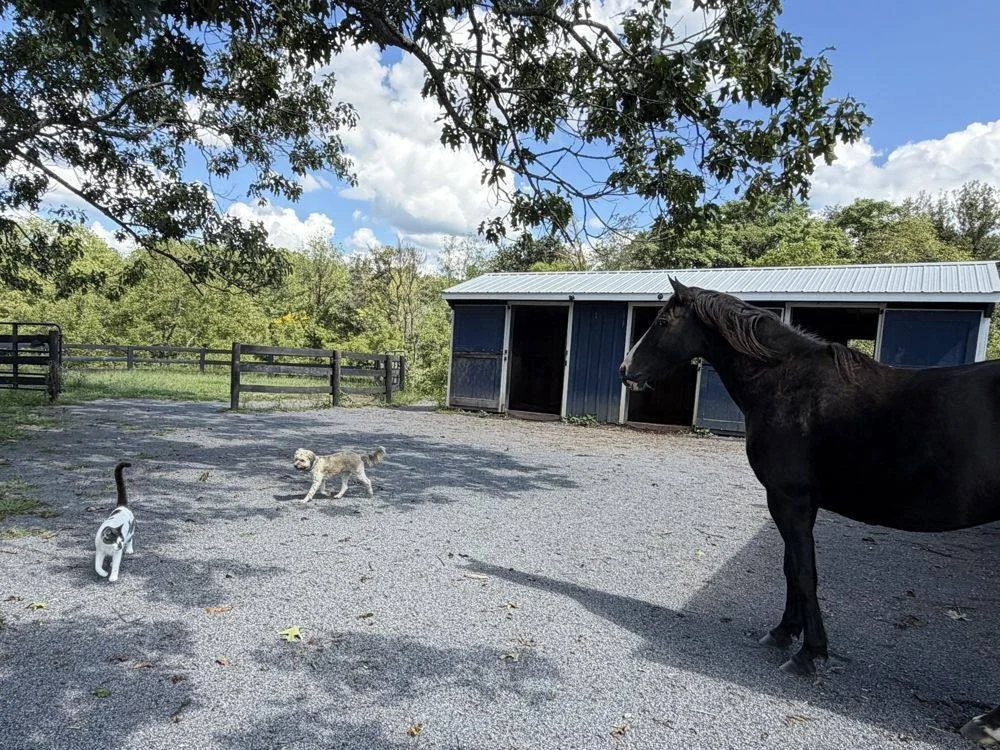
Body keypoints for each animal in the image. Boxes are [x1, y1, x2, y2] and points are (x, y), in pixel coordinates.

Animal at [619, 278, 1000, 745]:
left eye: (661, 321)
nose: (625, 369)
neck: (786, 382)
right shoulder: (791, 502)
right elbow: (790, 568)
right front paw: (784, 631)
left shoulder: (790, 499)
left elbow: (803, 572)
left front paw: (809, 652)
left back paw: (987, 723)